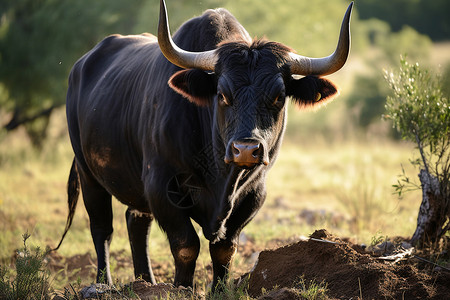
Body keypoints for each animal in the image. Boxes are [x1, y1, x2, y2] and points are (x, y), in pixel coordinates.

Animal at [55, 0, 352, 290]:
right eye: (222, 94)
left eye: (279, 96)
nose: (246, 149)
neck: (221, 178)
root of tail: (80, 66)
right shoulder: (160, 186)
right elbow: (186, 245)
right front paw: (182, 288)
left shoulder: (254, 193)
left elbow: (224, 249)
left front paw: (219, 290)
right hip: (88, 173)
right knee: (102, 229)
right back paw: (104, 283)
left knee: (136, 222)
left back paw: (145, 283)